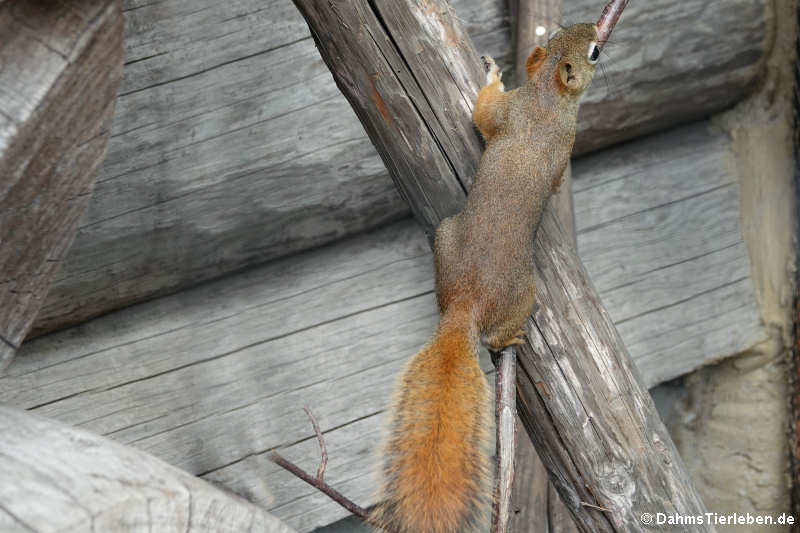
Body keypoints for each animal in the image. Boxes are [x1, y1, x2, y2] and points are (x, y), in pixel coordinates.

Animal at [374, 21, 600, 532]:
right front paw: (494, 72)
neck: (544, 96)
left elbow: (486, 115)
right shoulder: (559, 135)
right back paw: (508, 338)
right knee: (497, 335)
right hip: (525, 291)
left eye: (574, 34)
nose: (599, 26)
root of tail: (465, 301)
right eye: (594, 51)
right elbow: (488, 116)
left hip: (444, 237)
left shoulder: (513, 111)